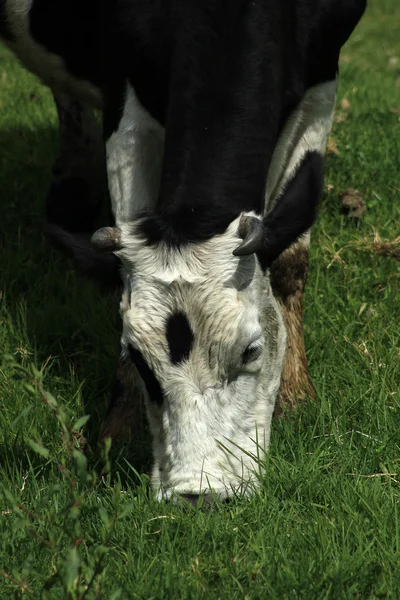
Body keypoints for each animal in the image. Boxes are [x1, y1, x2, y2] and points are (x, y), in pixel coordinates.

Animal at [0, 1, 368, 502]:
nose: (199, 493)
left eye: (251, 351)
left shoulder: (322, 70)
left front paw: (297, 394)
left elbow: (290, 260)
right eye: (136, 357)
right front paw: (118, 430)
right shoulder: (126, 91)